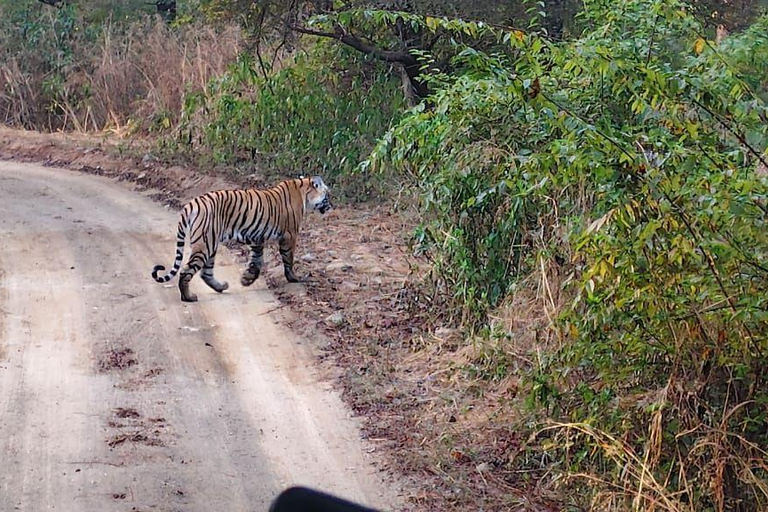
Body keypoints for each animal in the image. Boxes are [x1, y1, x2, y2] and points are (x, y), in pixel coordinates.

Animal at [152, 176, 332, 302]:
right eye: (327, 195)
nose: (331, 206)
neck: (303, 191)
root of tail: (192, 203)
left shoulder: (257, 238)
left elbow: (257, 261)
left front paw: (246, 279)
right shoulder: (289, 235)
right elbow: (288, 259)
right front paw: (293, 278)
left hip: (210, 243)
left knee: (205, 272)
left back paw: (221, 287)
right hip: (205, 244)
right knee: (186, 271)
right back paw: (188, 297)